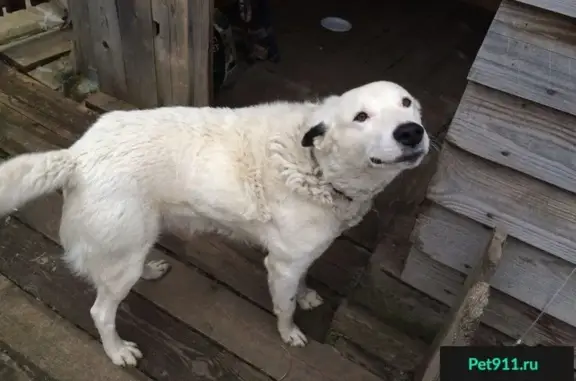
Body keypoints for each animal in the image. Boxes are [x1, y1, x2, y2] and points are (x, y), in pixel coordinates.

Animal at [0, 80, 428, 366]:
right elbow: (285, 307)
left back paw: (150, 271)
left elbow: (303, 283)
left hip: (134, 244)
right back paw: (118, 351)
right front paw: (289, 333)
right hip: (121, 255)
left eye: (407, 102)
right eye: (361, 117)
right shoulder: (282, 264)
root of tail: (77, 155)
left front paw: (307, 295)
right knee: (101, 313)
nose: (412, 132)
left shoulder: (301, 255)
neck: (316, 166)